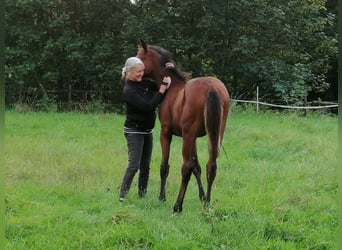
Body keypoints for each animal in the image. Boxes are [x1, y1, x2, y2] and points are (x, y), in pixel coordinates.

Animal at [136, 41, 230, 213]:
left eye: (140, 57)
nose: (126, 71)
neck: (172, 88)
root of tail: (211, 87)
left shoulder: (166, 133)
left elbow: (165, 166)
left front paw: (162, 197)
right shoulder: (193, 138)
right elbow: (197, 167)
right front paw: (202, 196)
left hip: (187, 136)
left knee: (185, 168)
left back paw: (177, 206)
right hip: (214, 134)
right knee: (211, 166)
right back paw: (207, 204)